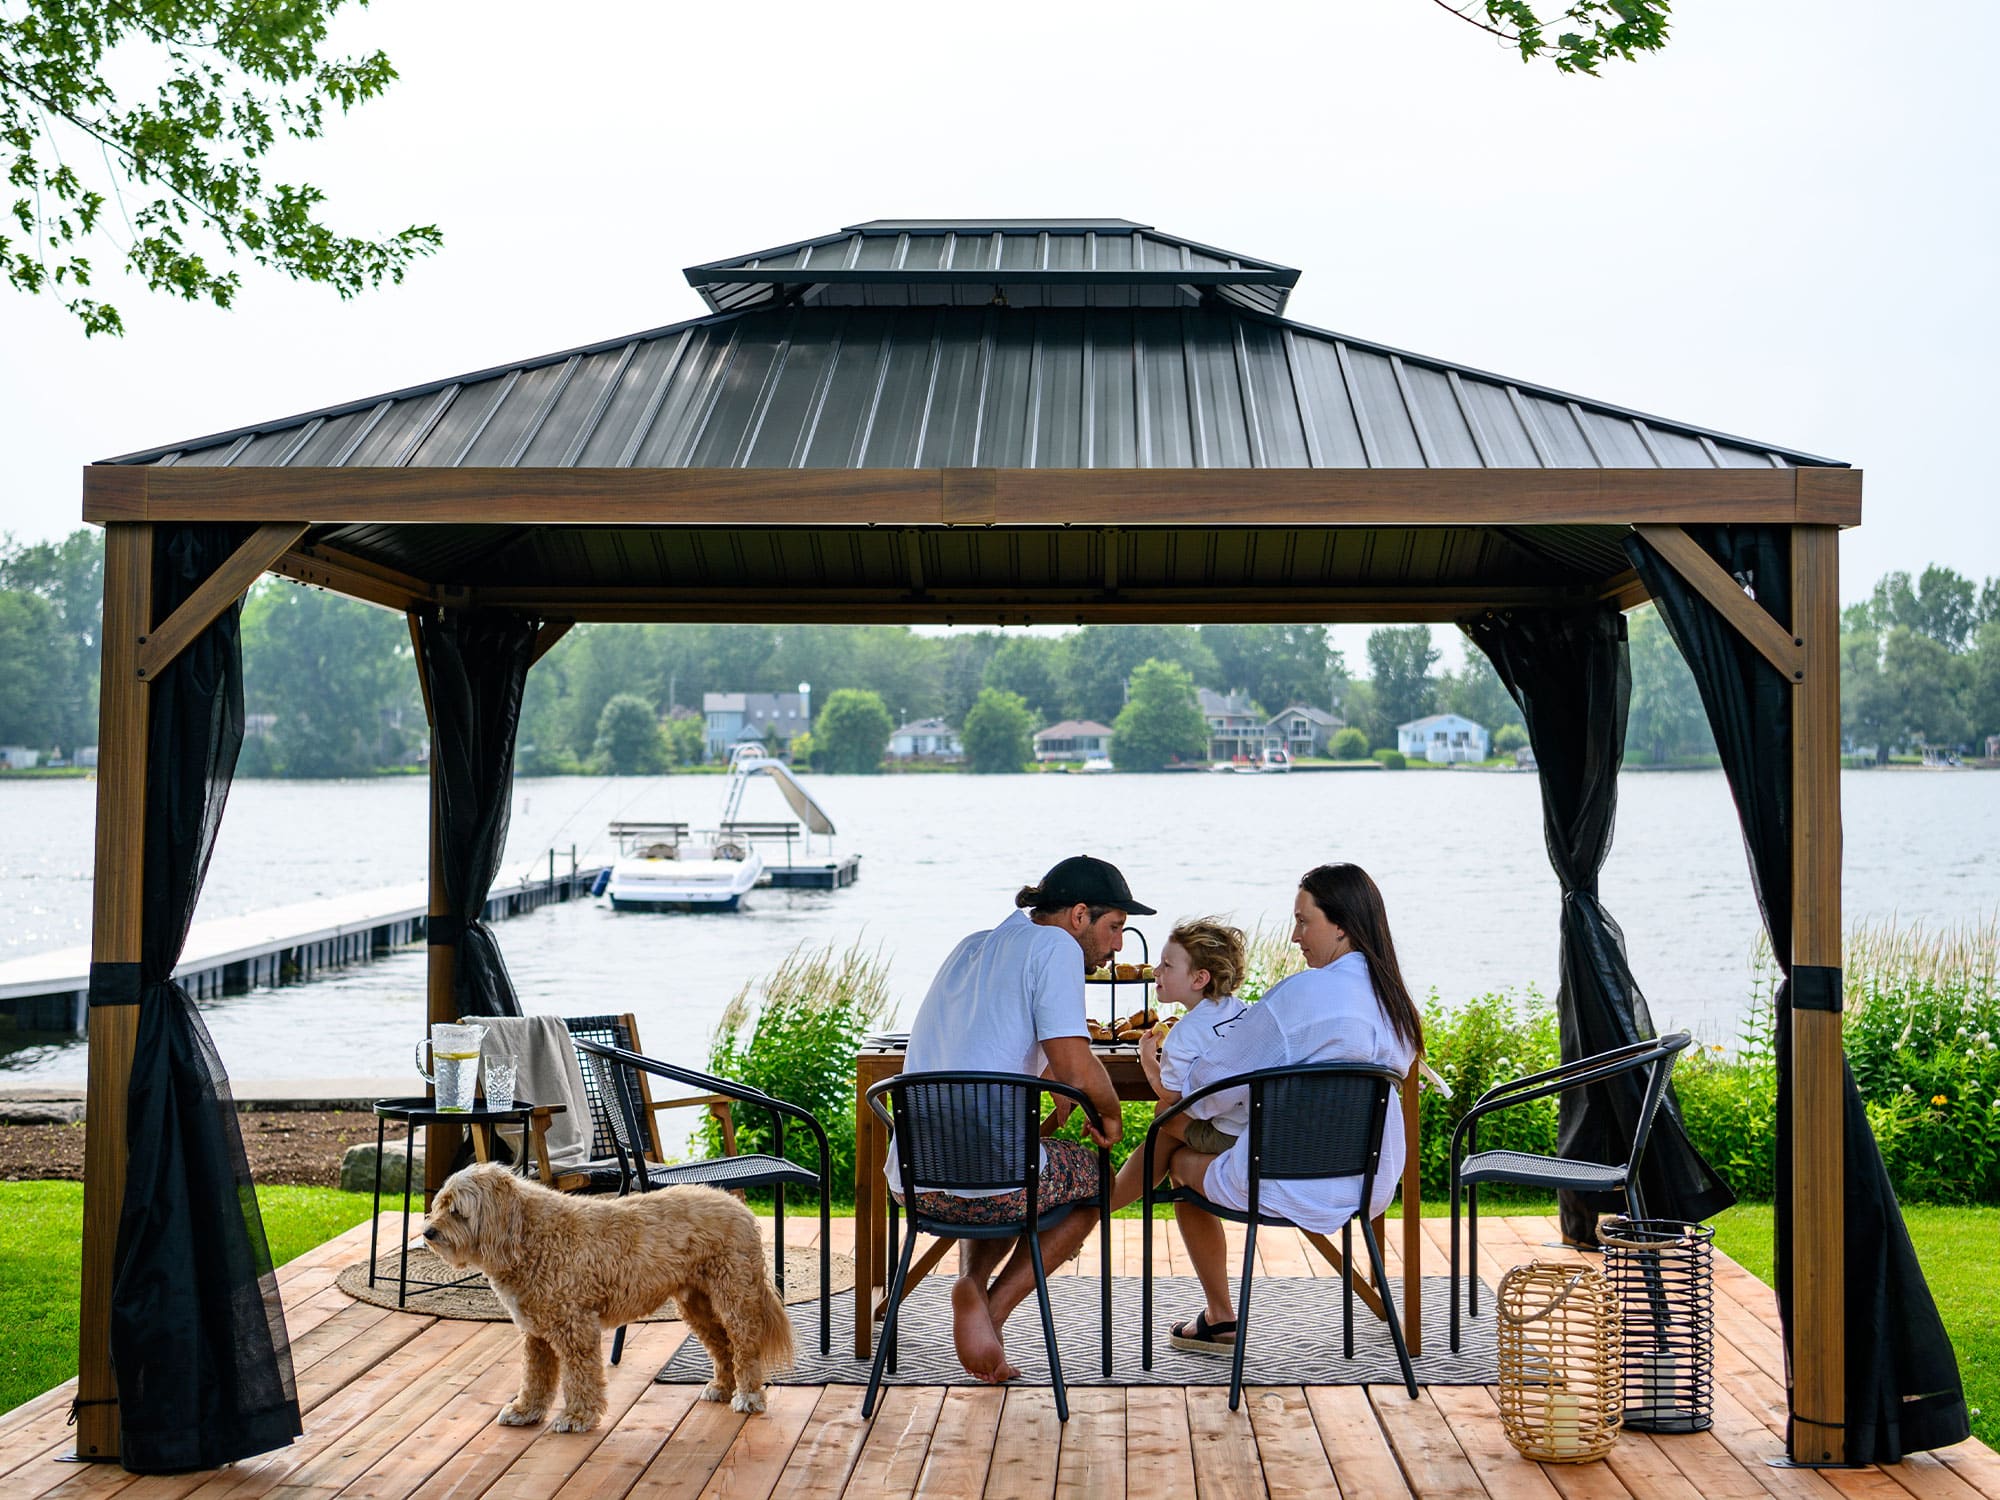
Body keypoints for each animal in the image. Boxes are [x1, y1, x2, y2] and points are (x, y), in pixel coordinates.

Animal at [426, 1160, 792, 1432]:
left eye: (457, 1211)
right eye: (439, 1204)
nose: (428, 1232)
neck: (527, 1235)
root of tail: (739, 1207)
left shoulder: (575, 1328)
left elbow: (579, 1378)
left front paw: (577, 1417)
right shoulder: (536, 1334)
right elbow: (534, 1379)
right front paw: (525, 1411)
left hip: (734, 1299)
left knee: (745, 1347)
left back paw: (748, 1396)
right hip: (698, 1306)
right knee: (723, 1347)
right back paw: (722, 1387)